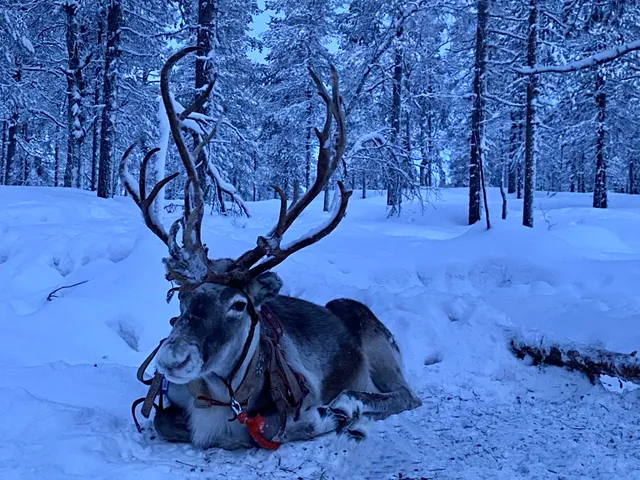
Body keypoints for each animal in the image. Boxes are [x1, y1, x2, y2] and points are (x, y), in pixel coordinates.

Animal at [122, 47, 422, 451]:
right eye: (183, 299)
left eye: (238, 305)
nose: (172, 359)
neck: (220, 397)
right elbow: (162, 420)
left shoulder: (298, 395)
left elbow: (277, 426)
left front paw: (334, 415)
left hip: (378, 345)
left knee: (406, 395)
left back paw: (351, 404)